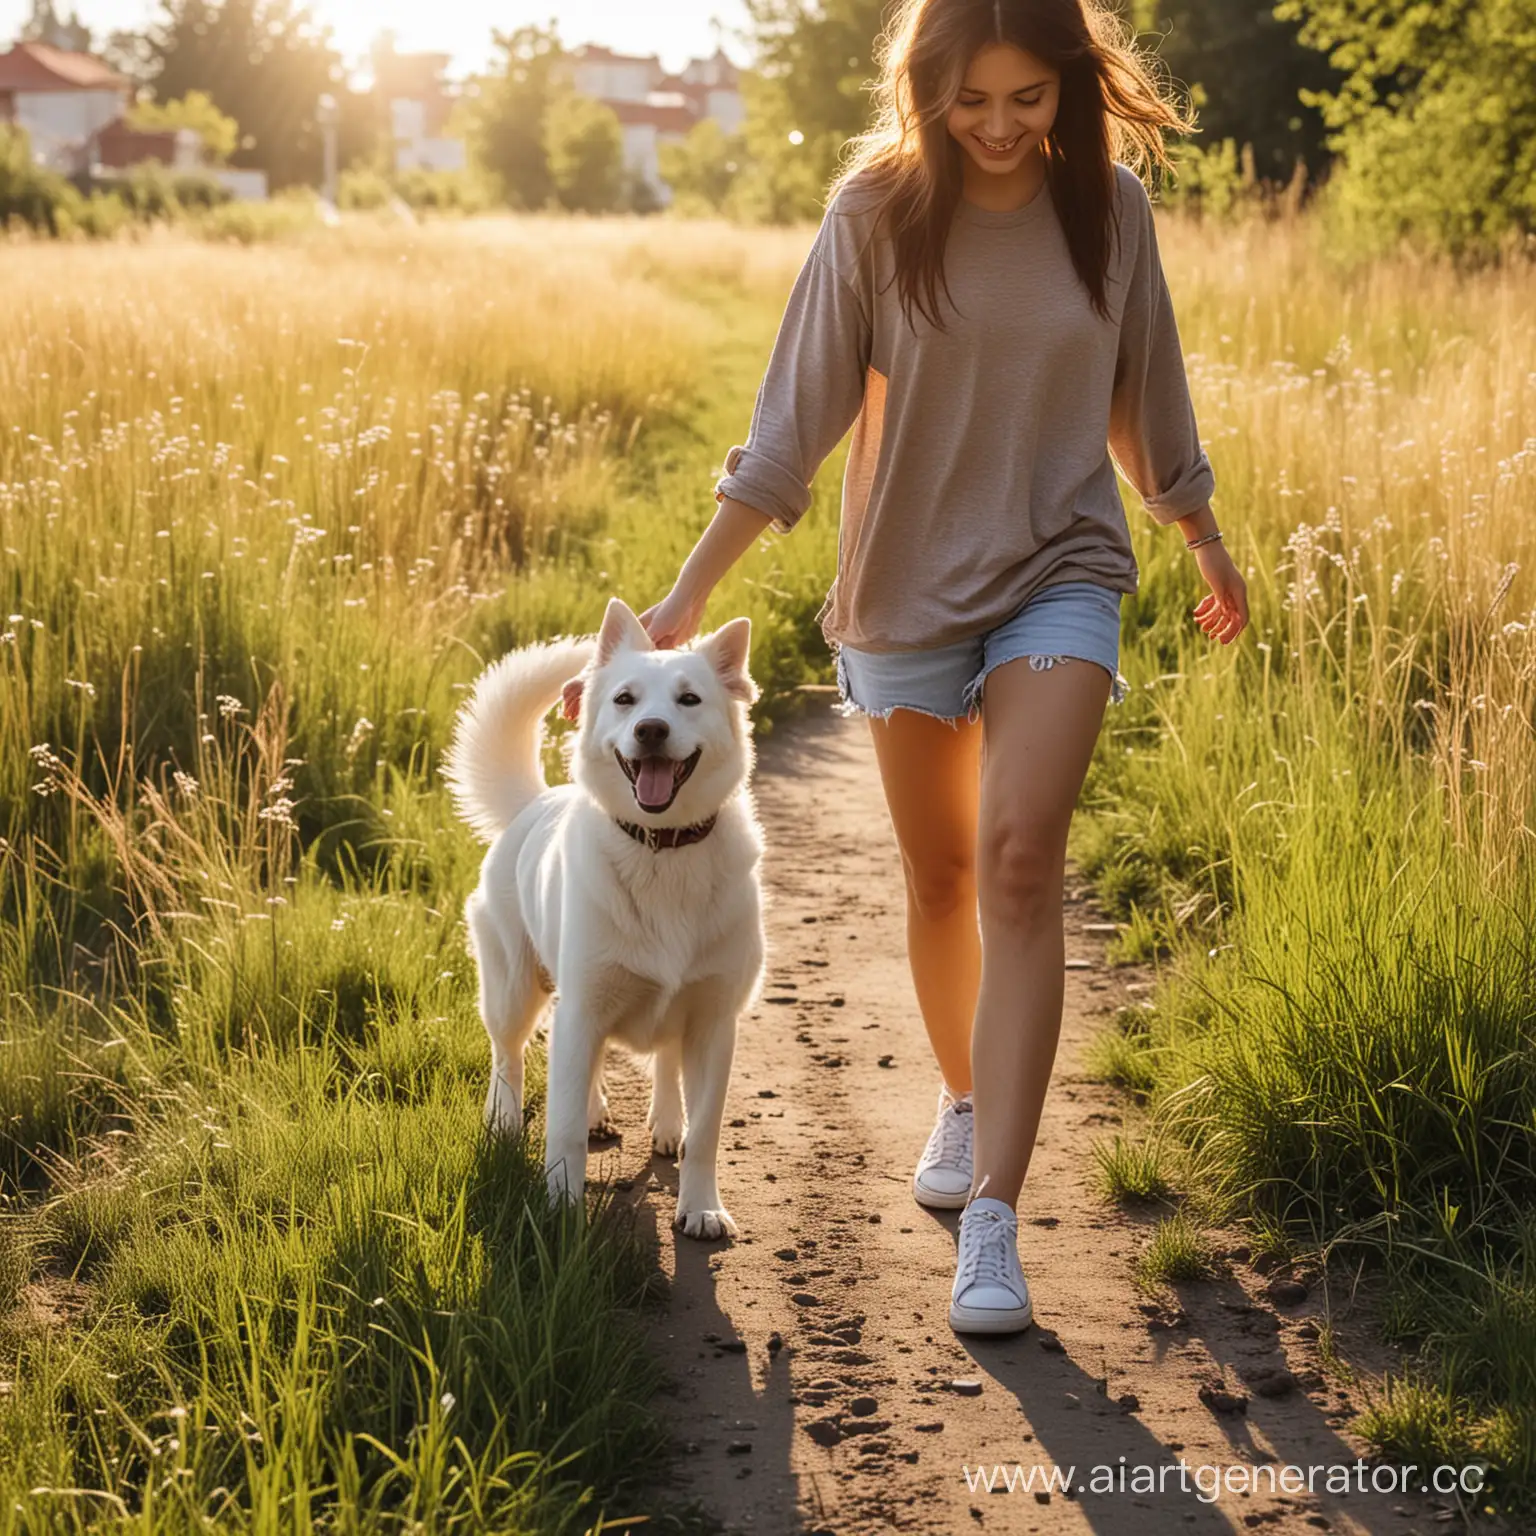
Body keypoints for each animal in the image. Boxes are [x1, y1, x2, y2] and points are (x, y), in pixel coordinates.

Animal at [442, 592, 764, 1241]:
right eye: (625, 699)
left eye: (689, 700)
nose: (650, 730)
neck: (662, 850)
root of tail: (535, 801)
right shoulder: (583, 1009)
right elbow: (561, 1126)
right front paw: (560, 1210)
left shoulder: (714, 1024)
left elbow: (706, 1133)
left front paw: (701, 1207)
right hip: (516, 993)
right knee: (509, 1060)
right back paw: (504, 1126)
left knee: (661, 1062)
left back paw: (663, 1121)